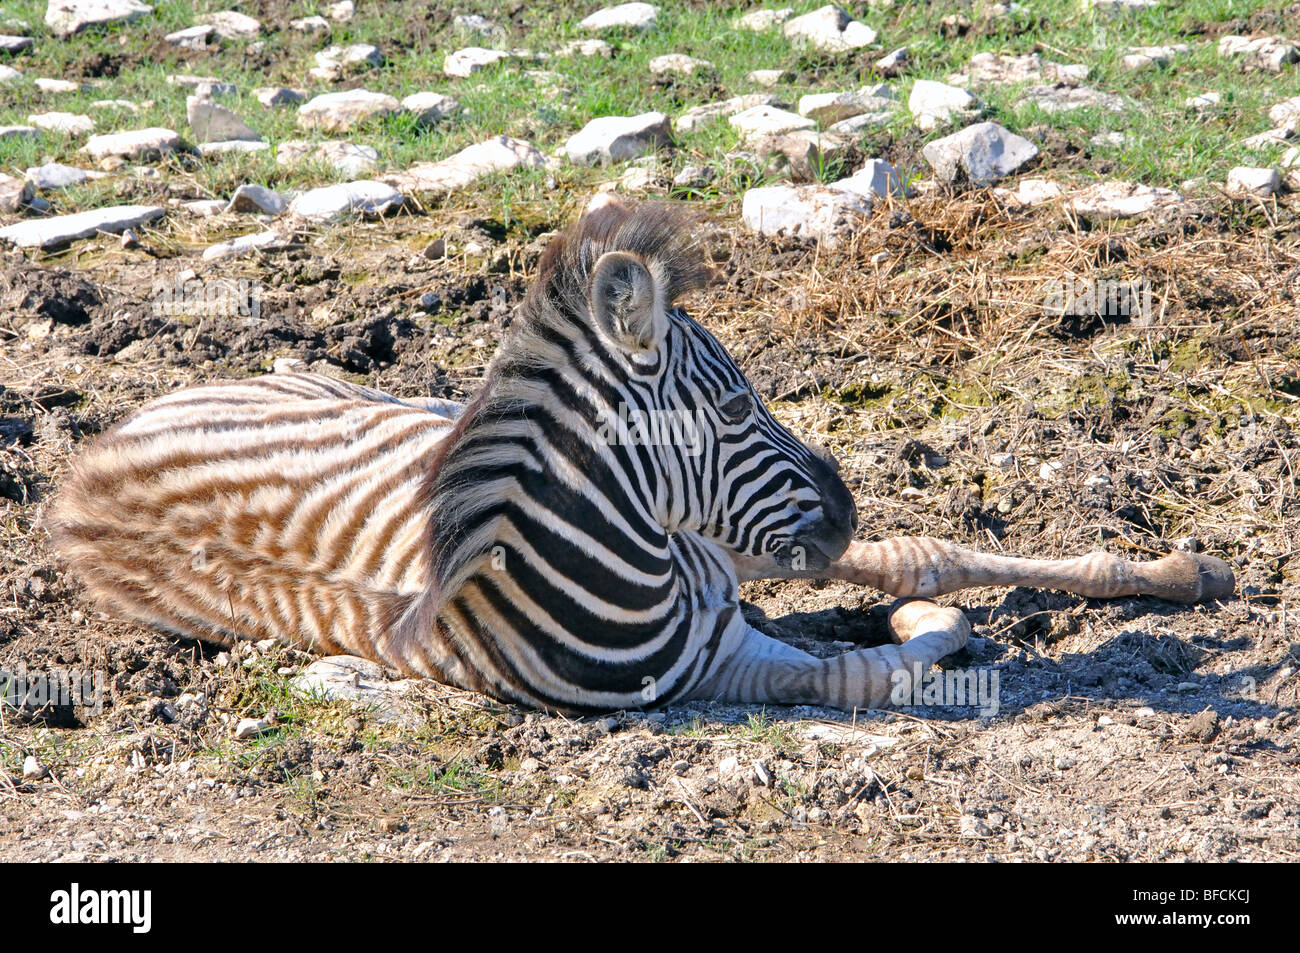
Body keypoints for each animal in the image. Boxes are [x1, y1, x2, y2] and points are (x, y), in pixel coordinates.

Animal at [48, 200, 1227, 712]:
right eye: (740, 402)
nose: (842, 510)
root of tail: (75, 478)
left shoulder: (721, 555)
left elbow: (921, 555)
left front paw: (1175, 570)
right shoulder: (733, 651)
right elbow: (876, 662)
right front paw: (918, 627)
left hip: (383, 397)